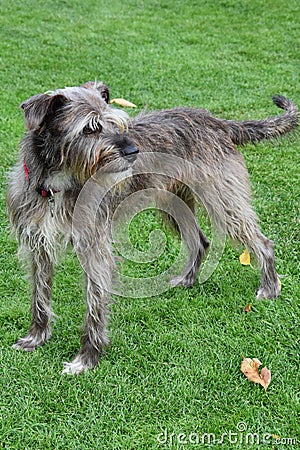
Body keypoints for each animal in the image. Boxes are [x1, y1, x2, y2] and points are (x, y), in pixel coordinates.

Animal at [7, 80, 298, 372]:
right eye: (90, 128)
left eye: (116, 124)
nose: (132, 152)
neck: (58, 185)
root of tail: (216, 122)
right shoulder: (38, 246)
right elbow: (39, 296)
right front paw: (36, 337)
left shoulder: (94, 247)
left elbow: (94, 305)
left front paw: (87, 359)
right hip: (174, 204)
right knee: (200, 241)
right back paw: (187, 279)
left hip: (225, 204)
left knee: (263, 243)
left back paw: (270, 288)